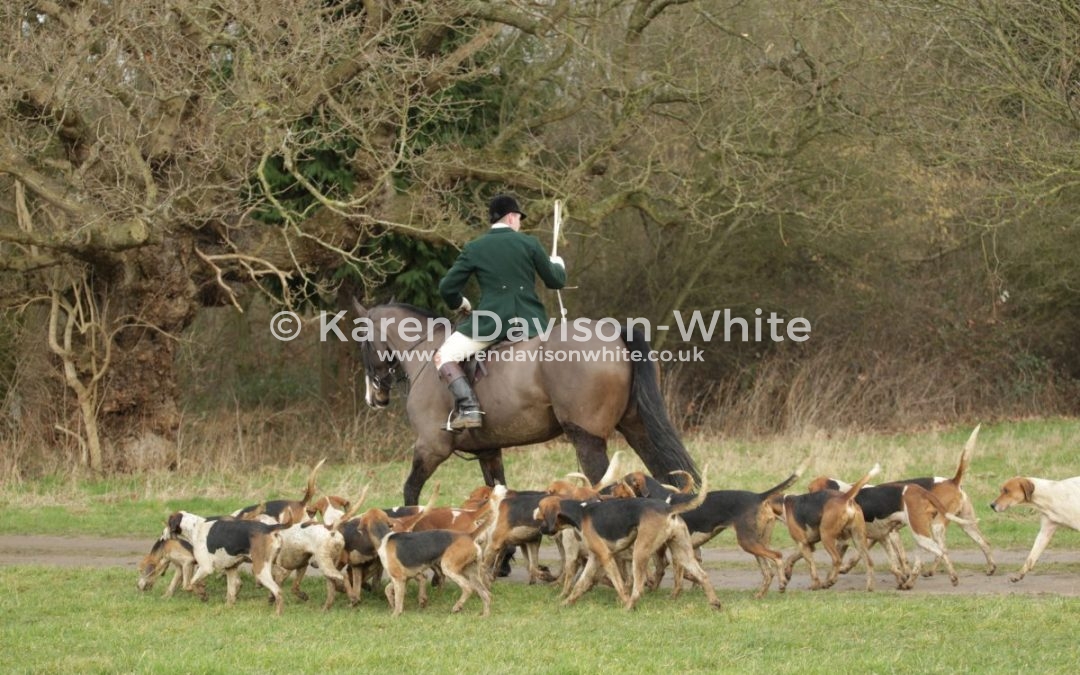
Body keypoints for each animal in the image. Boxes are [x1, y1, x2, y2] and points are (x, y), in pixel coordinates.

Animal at [349, 302, 695, 505]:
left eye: (362, 341)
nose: (373, 397)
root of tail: (614, 332)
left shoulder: (431, 447)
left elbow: (410, 491)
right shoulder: (488, 451)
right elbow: (498, 496)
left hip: (587, 439)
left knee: (615, 489)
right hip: (638, 429)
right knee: (668, 480)